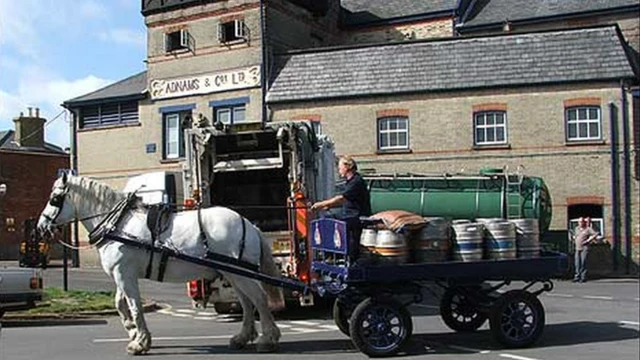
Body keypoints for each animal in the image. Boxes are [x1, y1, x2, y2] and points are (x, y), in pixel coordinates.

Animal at [37, 174, 282, 354]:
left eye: (54, 199)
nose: (41, 226)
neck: (117, 224)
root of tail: (249, 224)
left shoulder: (124, 274)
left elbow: (134, 306)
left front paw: (140, 342)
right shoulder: (121, 273)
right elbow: (120, 304)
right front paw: (132, 331)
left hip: (240, 273)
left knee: (259, 299)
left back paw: (267, 339)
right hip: (233, 273)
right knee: (247, 302)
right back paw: (243, 337)